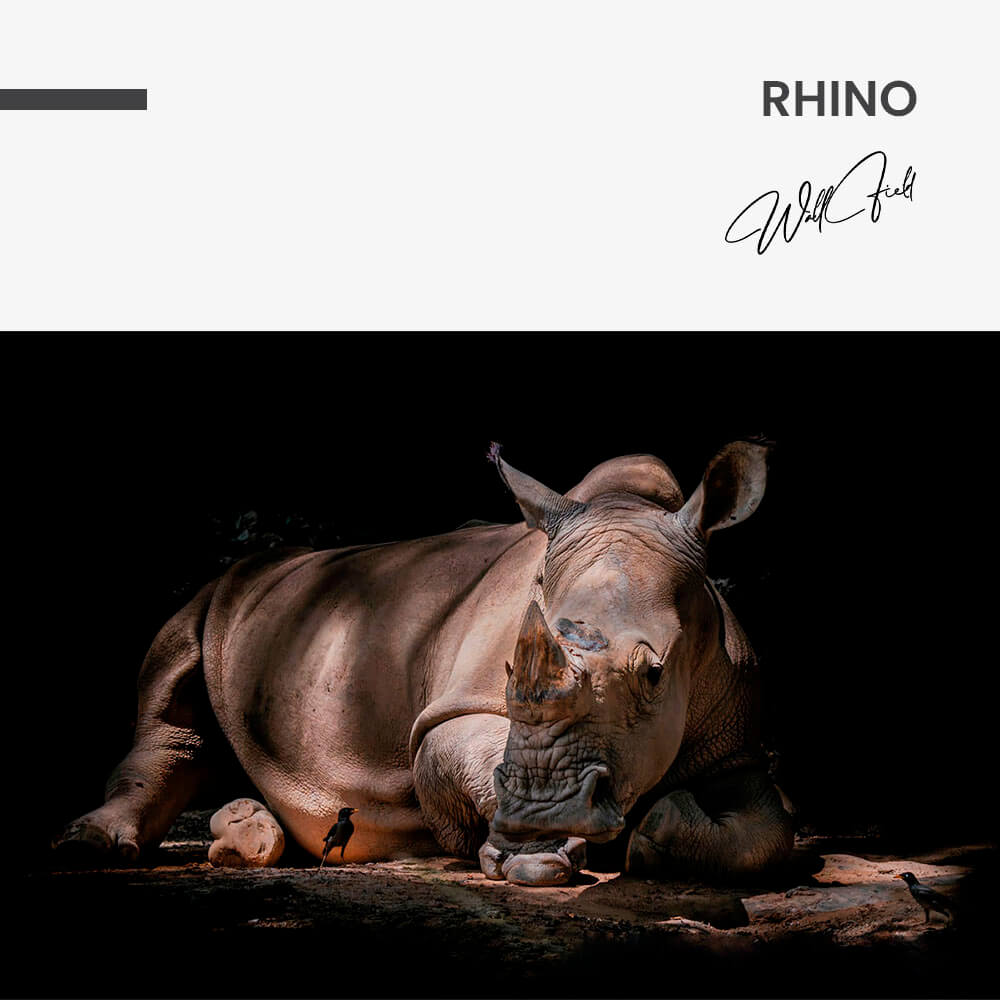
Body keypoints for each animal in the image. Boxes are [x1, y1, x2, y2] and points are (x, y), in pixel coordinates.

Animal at [55, 442, 794, 886]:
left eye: (654, 675)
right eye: (511, 673)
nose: (546, 818)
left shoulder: (737, 743)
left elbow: (771, 829)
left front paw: (654, 835)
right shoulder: (453, 713)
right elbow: (463, 751)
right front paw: (534, 858)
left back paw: (249, 837)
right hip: (218, 594)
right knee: (171, 704)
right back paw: (95, 847)